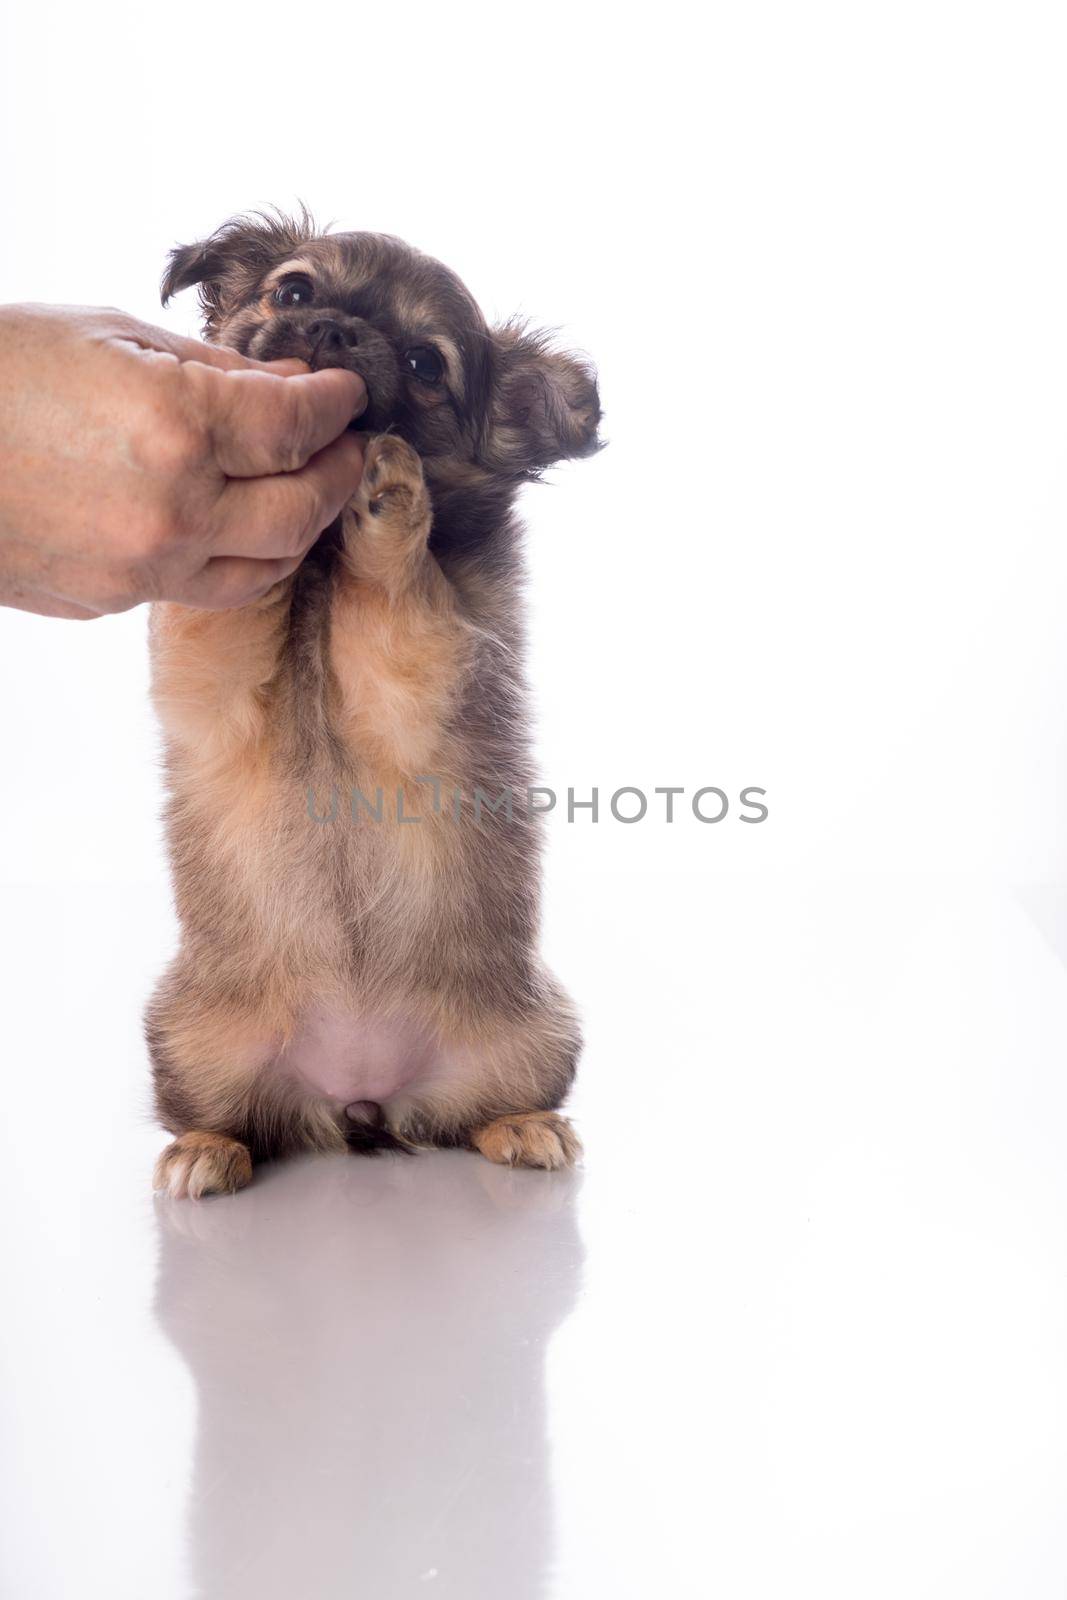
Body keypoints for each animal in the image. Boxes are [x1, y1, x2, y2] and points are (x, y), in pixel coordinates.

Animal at [143, 206, 601, 1196]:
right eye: (292, 291)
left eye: (427, 364)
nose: (335, 332)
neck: (320, 566)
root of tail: (359, 1091)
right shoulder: (210, 663)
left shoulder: (421, 668)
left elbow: (393, 579)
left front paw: (388, 485)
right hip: (190, 1041)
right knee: (233, 1120)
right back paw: (205, 1148)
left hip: (533, 1033)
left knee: (479, 1113)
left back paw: (524, 1129)